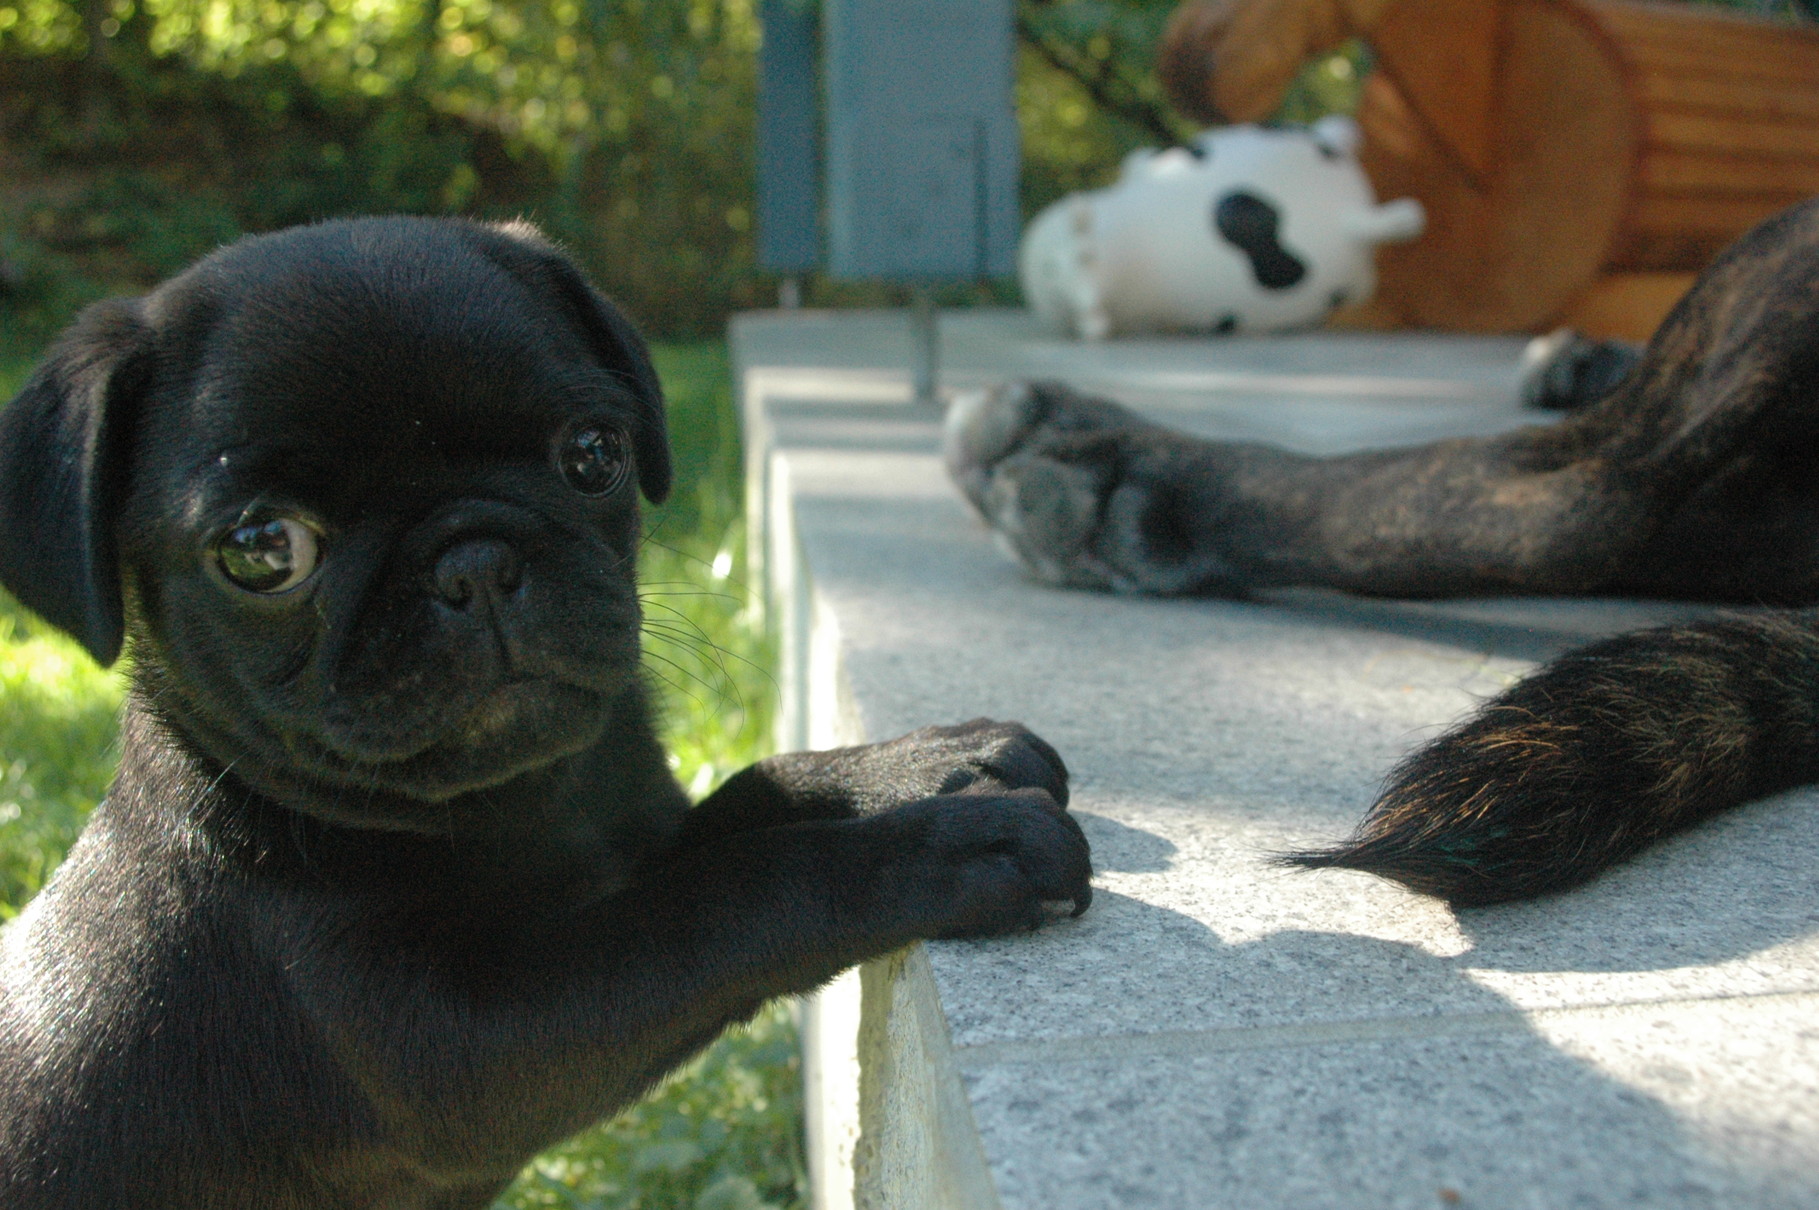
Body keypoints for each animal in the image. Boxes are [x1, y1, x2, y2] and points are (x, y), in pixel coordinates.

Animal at [0, 219, 1084, 1208]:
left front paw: (921, 762)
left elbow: (759, 795)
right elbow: (730, 892)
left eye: (593, 455)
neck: (528, 801)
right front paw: (949, 844)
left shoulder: (640, 842)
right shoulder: (460, 1041)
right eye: (265, 549)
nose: (474, 562)